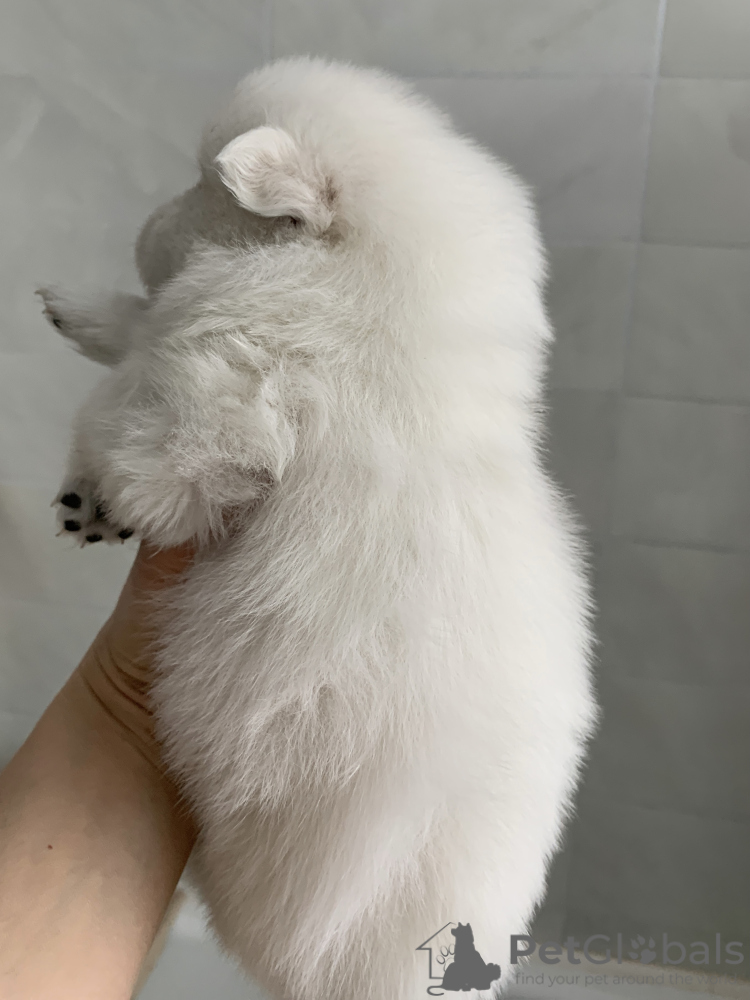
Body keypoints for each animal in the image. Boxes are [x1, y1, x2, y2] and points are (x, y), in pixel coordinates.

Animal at [39, 58, 597, 1000]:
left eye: (204, 183)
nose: (145, 227)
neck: (364, 296)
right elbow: (136, 338)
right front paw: (74, 311)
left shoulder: (220, 407)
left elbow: (138, 429)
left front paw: (100, 492)